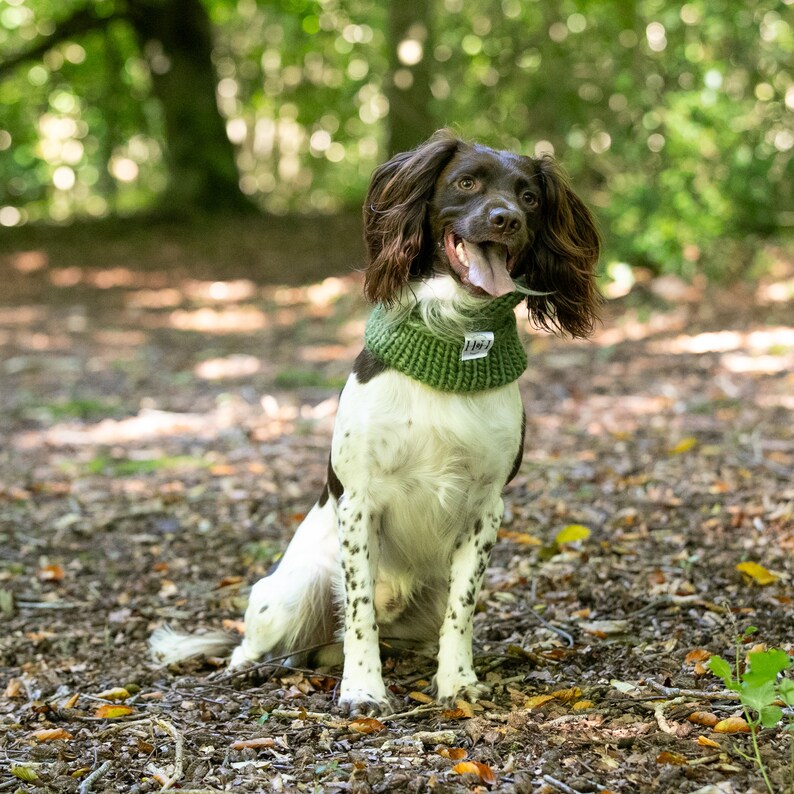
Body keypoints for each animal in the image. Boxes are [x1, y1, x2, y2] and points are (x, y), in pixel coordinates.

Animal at [148, 128, 596, 712]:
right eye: (466, 183)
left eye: (530, 198)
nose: (506, 219)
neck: (454, 342)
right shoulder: (359, 500)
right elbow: (360, 612)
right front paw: (363, 689)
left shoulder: (486, 508)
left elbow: (462, 612)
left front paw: (458, 681)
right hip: (293, 590)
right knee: (267, 639)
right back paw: (244, 668)